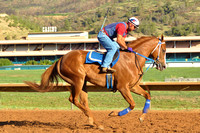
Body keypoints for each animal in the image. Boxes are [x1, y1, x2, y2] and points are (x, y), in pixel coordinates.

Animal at [25, 35, 166, 129]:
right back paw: (96, 122)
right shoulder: (123, 87)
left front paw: (142, 117)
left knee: (83, 102)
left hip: (83, 83)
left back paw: (94, 121)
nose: (163, 66)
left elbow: (147, 95)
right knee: (73, 99)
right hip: (77, 80)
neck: (131, 59)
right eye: (164, 50)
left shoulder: (133, 86)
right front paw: (114, 113)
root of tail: (60, 59)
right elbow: (132, 104)